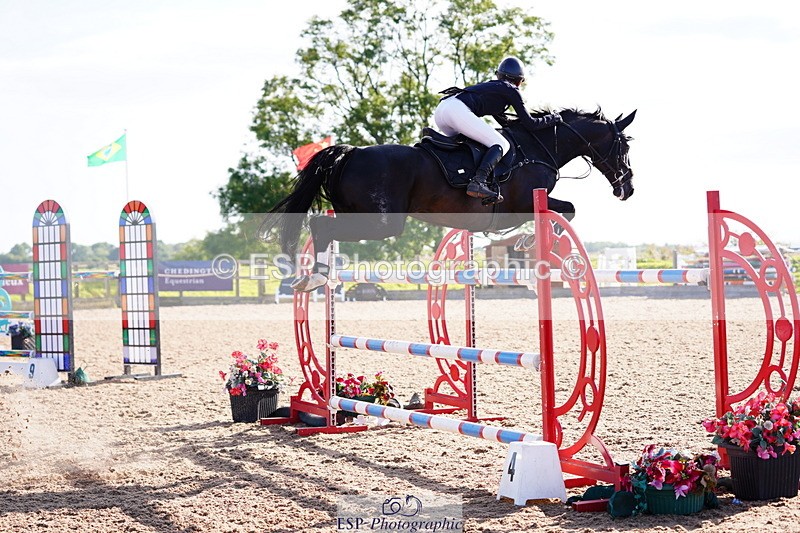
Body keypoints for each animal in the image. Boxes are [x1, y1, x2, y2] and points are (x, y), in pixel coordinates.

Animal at [261, 107, 636, 291]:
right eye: (624, 145)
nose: (627, 188)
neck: (537, 147)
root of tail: (351, 153)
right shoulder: (521, 206)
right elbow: (568, 210)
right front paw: (532, 241)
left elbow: (566, 211)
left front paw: (533, 241)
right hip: (382, 223)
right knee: (321, 225)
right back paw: (316, 276)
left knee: (320, 225)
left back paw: (312, 277)